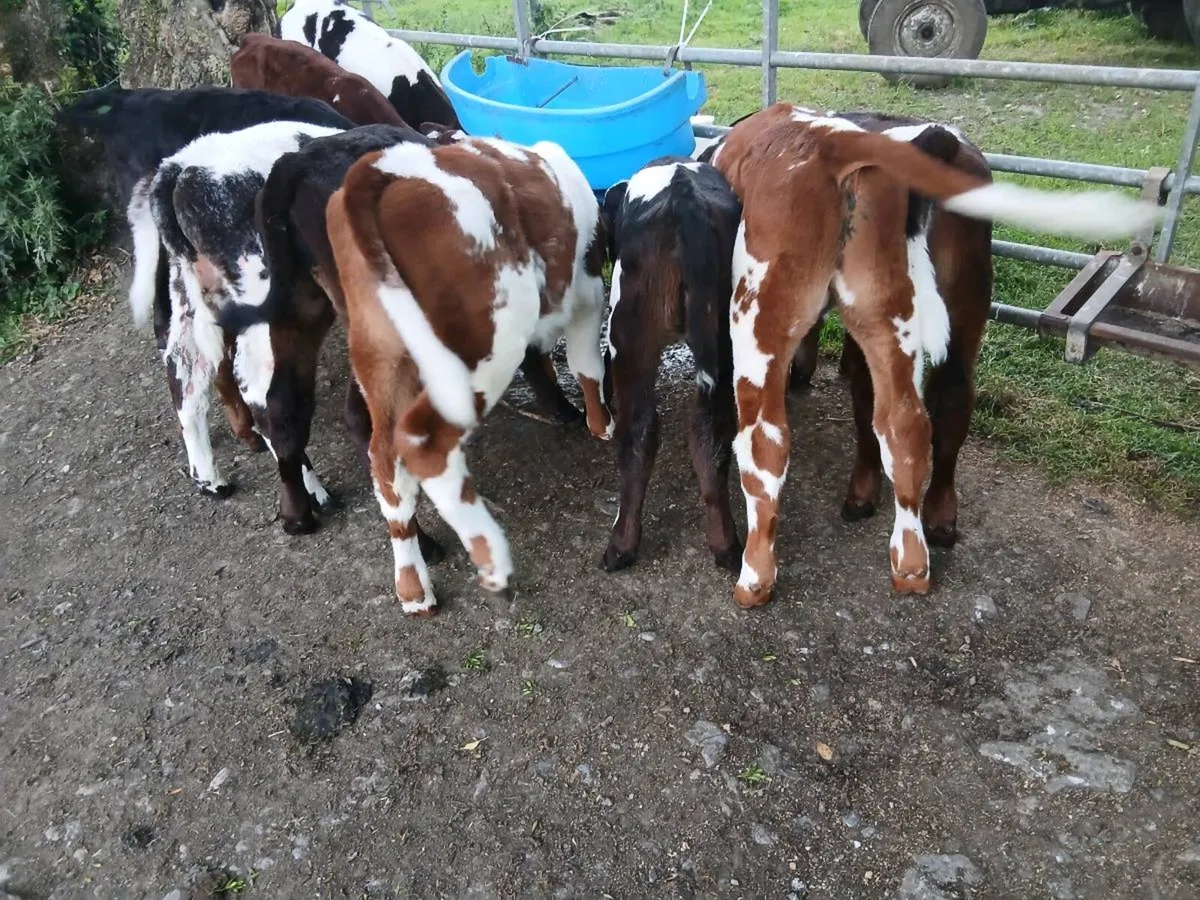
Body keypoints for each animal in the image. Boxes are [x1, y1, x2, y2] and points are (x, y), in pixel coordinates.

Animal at [129, 120, 351, 535]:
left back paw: (209, 478)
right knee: (264, 391)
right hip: (264, 295)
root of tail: (180, 165)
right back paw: (311, 496)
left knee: (185, 368)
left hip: (190, 291)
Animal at [325, 136, 611, 616]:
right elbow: (587, 365)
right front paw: (602, 424)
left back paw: (413, 588)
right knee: (424, 442)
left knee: (385, 461)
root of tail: (380, 168)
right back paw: (491, 559)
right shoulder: (589, 292)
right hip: (487, 341)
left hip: (378, 352)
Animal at [597, 157, 743, 575]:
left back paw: (620, 546)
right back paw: (726, 545)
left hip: (628, 336)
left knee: (638, 433)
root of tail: (683, 197)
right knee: (711, 431)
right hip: (722, 335)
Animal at [709, 102, 1159, 607]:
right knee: (911, 421)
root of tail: (832, 138)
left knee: (765, 441)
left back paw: (755, 576)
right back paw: (913, 560)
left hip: (758, 313)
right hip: (900, 311)